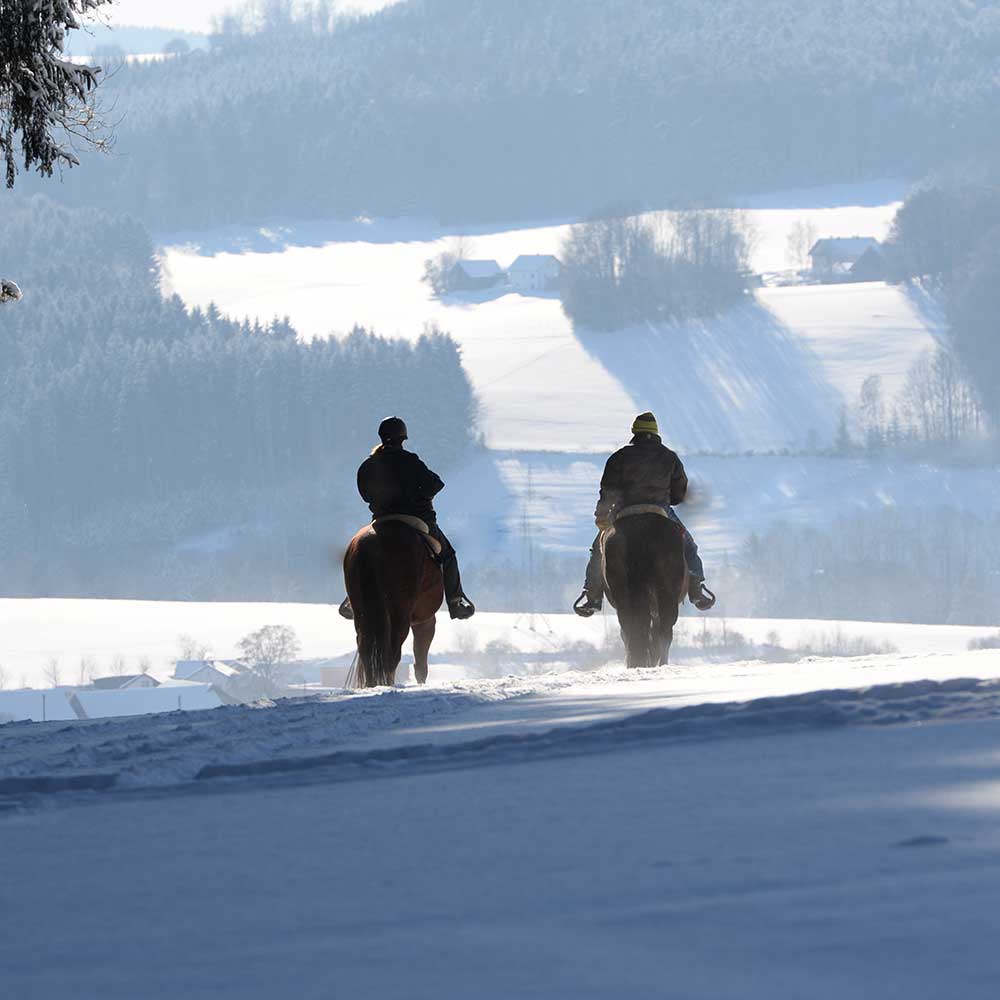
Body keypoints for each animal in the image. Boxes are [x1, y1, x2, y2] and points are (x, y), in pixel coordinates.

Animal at [342, 516, 444, 688]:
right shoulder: (425, 620)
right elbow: (420, 656)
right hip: (400, 613)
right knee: (393, 651)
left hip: (361, 611)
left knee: (366, 648)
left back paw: (372, 683)